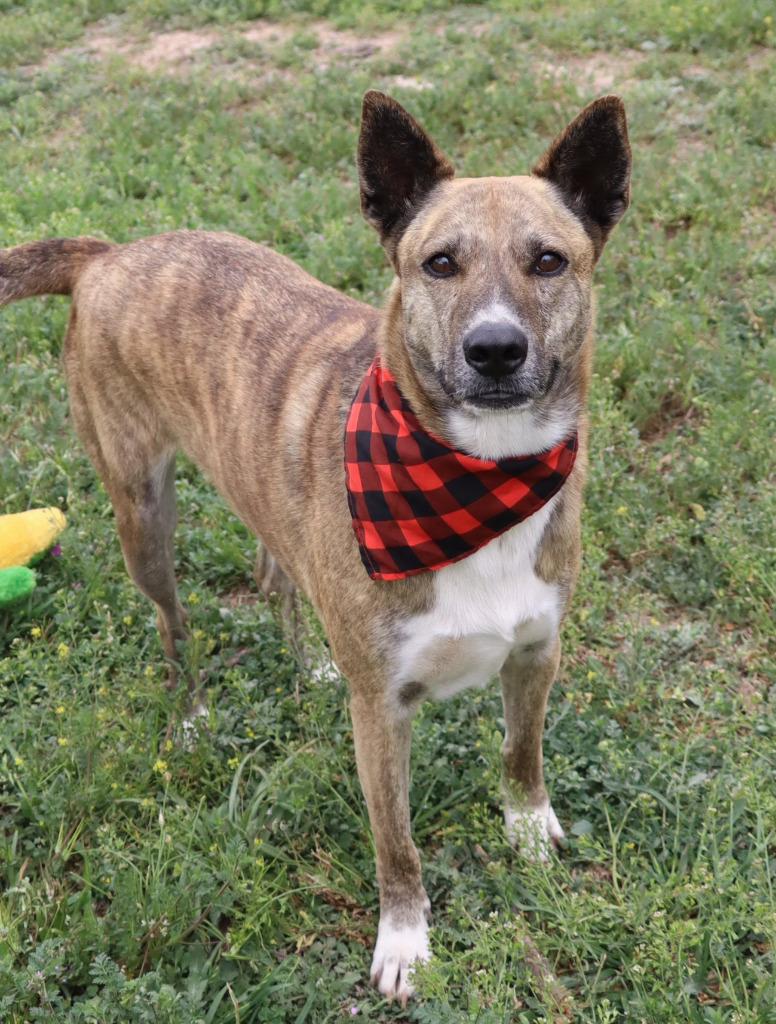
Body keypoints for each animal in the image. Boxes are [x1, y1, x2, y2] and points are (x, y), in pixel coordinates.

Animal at [0, 92, 630, 1003]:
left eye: (549, 260)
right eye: (439, 263)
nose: (495, 350)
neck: (480, 476)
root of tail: (111, 253)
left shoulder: (534, 651)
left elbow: (522, 752)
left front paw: (526, 827)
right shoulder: (382, 712)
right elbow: (396, 843)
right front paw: (405, 941)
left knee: (274, 571)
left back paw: (312, 665)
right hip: (141, 514)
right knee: (173, 624)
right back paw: (192, 716)